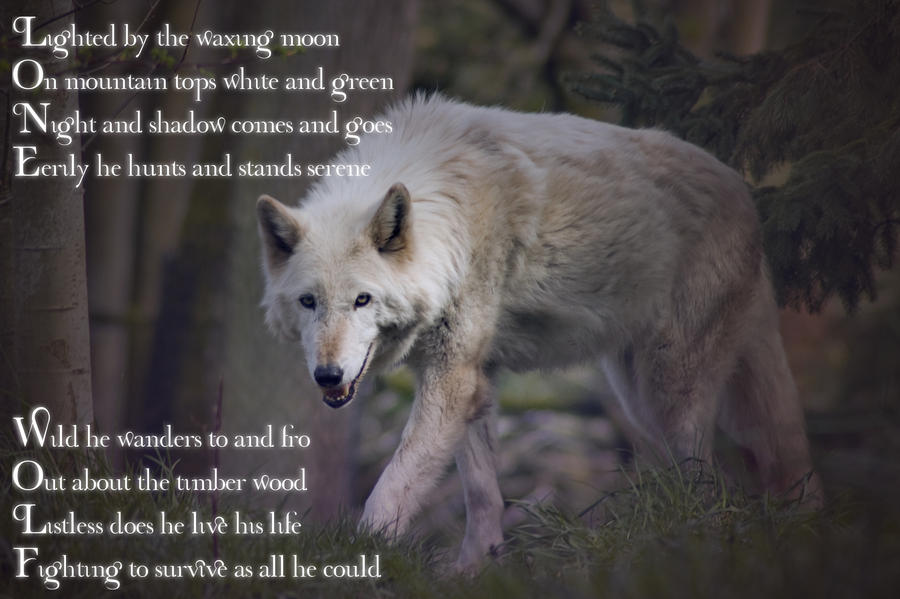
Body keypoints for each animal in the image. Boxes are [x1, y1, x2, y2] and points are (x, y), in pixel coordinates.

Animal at [256, 95, 820, 569]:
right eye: (309, 303)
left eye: (362, 300)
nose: (328, 376)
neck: (449, 214)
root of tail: (744, 192)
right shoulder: (470, 382)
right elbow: (483, 496)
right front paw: (475, 571)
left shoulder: (452, 379)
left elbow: (392, 487)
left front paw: (363, 561)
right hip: (640, 398)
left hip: (671, 394)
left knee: (712, 485)